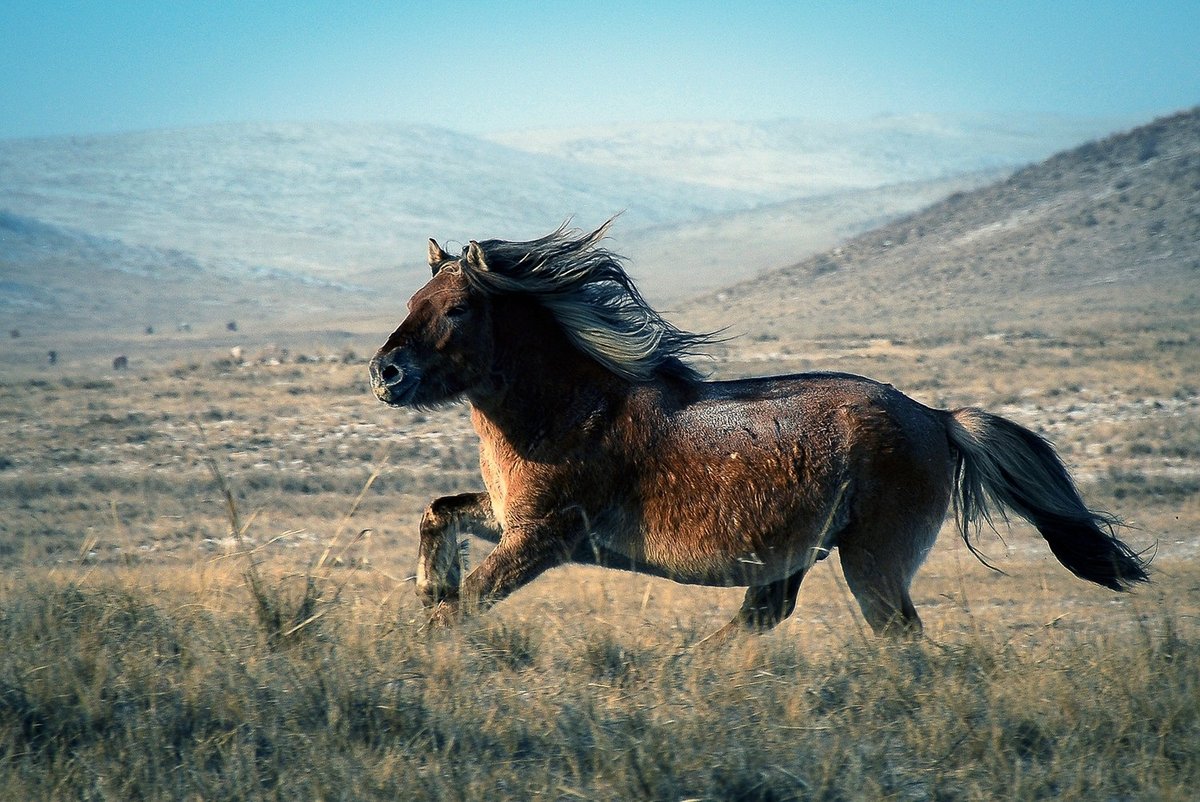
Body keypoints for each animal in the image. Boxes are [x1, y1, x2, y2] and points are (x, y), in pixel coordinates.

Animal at [369, 222, 1147, 643]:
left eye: (457, 308)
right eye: (412, 299)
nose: (385, 373)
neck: (565, 409)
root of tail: (936, 419)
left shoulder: (543, 538)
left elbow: (465, 608)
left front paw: (427, 642)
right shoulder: (511, 521)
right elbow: (437, 514)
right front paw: (430, 586)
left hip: (873, 561)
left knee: (896, 635)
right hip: (800, 550)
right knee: (766, 613)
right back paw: (685, 675)